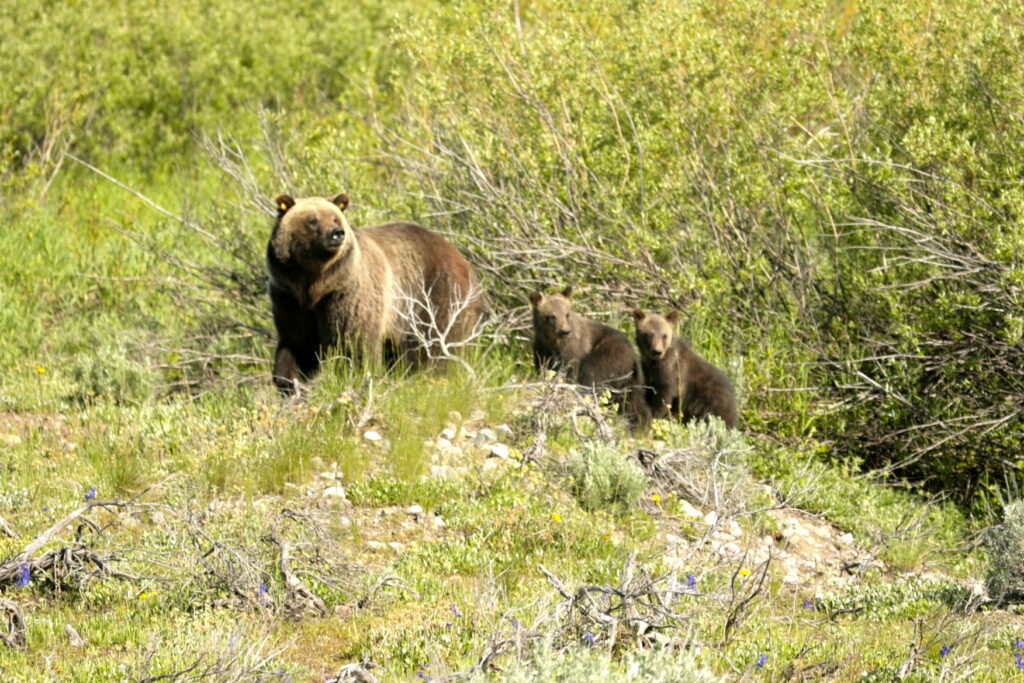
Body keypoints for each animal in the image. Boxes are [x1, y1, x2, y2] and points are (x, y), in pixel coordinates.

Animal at [268, 192, 483, 395]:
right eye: (312, 220)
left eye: (335, 218)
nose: (337, 234)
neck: (317, 282)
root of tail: (460, 256)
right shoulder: (289, 296)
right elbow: (298, 343)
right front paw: (288, 382)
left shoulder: (348, 292)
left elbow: (356, 340)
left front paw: (357, 376)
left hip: (434, 292)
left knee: (434, 342)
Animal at [532, 288, 651, 432]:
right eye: (551, 316)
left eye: (567, 314)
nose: (565, 331)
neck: (553, 342)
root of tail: (634, 355)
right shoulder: (542, 350)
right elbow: (544, 369)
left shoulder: (574, 349)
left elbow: (570, 370)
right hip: (631, 378)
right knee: (633, 399)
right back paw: (640, 425)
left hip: (607, 357)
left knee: (591, 377)